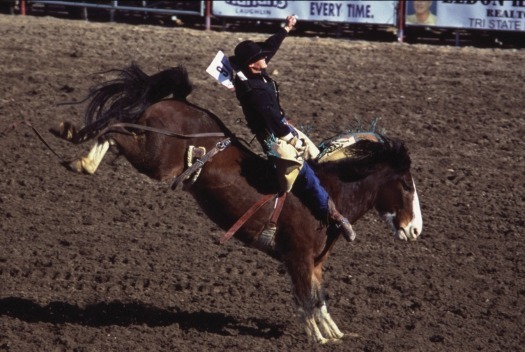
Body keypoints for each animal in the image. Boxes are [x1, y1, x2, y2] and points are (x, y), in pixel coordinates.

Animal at [53, 64, 422, 344]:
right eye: (406, 185)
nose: (416, 229)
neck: (329, 195)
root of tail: (177, 102)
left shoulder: (315, 262)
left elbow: (319, 299)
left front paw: (334, 334)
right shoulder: (298, 258)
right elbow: (306, 300)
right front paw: (317, 338)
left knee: (117, 128)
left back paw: (77, 148)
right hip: (155, 158)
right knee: (114, 128)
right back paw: (76, 146)